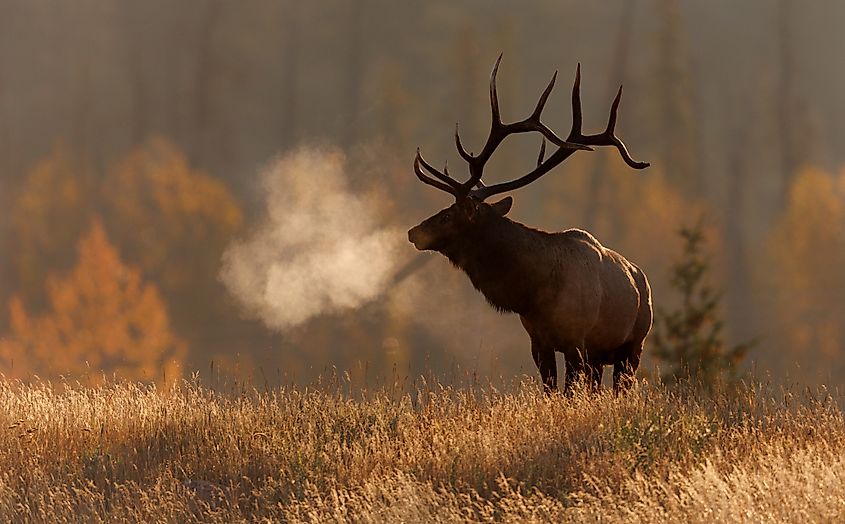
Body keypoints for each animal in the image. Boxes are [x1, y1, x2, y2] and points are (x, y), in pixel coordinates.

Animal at [407, 56, 652, 394]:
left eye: (447, 215)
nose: (413, 232)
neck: (534, 293)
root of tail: (642, 278)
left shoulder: (576, 340)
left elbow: (569, 393)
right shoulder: (539, 341)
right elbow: (551, 390)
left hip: (633, 346)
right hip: (601, 355)